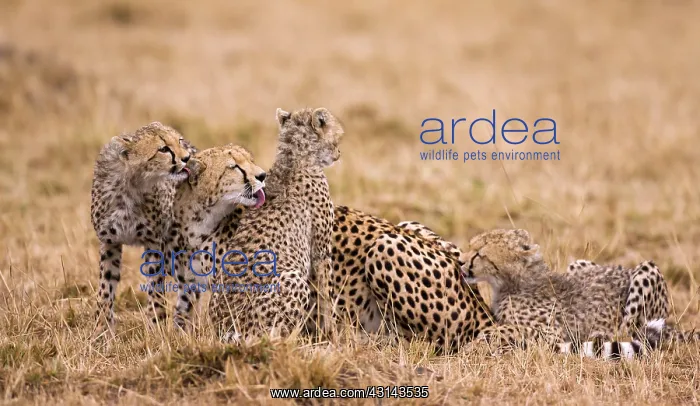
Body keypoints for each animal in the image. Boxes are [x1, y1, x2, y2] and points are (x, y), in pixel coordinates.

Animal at [90, 121, 194, 335]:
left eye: (179, 141)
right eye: (163, 149)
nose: (187, 157)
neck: (131, 184)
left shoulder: (154, 243)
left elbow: (156, 288)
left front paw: (156, 328)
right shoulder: (109, 242)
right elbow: (105, 287)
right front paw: (101, 330)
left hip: (177, 247)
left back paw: (183, 327)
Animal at [202, 107, 343, 342]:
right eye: (337, 138)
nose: (338, 154)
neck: (294, 157)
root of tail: (227, 329)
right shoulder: (321, 252)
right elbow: (326, 297)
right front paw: (332, 336)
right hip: (292, 279)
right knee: (277, 336)